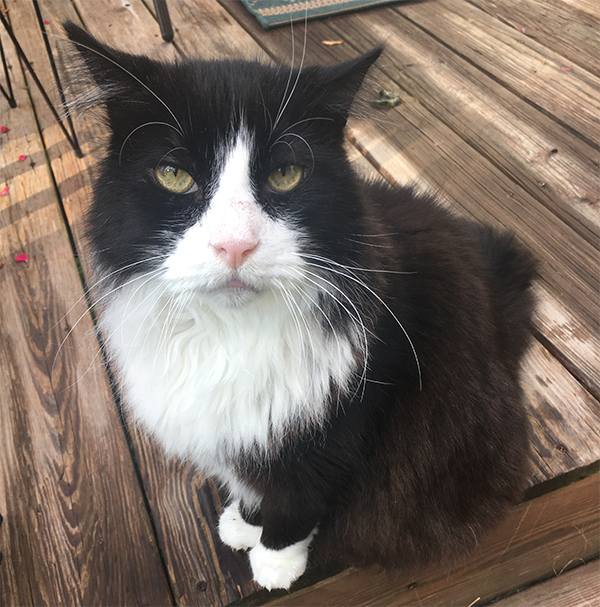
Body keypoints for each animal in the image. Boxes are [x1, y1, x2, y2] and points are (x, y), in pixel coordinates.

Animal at [64, 21, 536, 592]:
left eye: (285, 176)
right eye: (173, 174)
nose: (235, 246)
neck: (229, 334)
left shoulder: (344, 417)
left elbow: (299, 493)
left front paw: (274, 560)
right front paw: (244, 522)